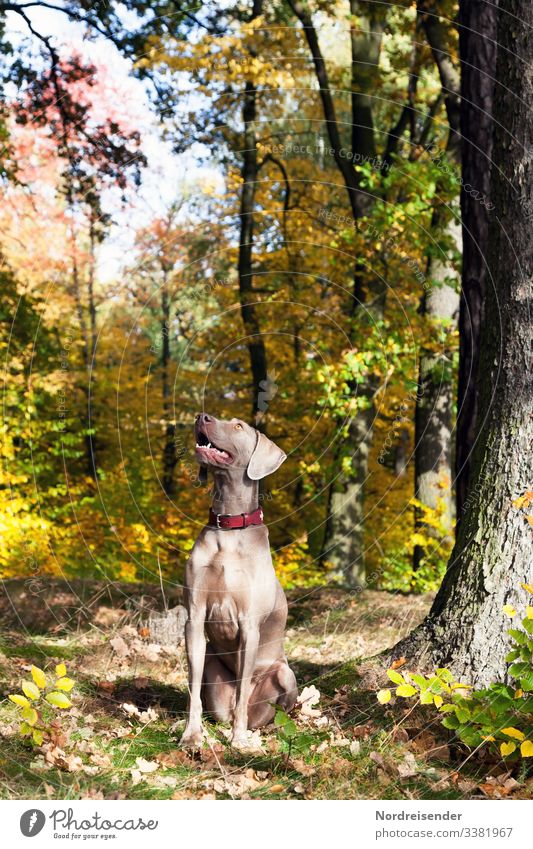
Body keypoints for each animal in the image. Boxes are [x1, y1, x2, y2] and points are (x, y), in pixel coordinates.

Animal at [179, 414, 296, 744]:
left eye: (239, 426)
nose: (202, 416)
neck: (228, 528)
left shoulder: (249, 626)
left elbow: (244, 690)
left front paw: (238, 740)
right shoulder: (194, 618)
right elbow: (192, 689)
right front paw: (191, 734)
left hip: (285, 674)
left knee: (271, 709)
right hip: (213, 671)